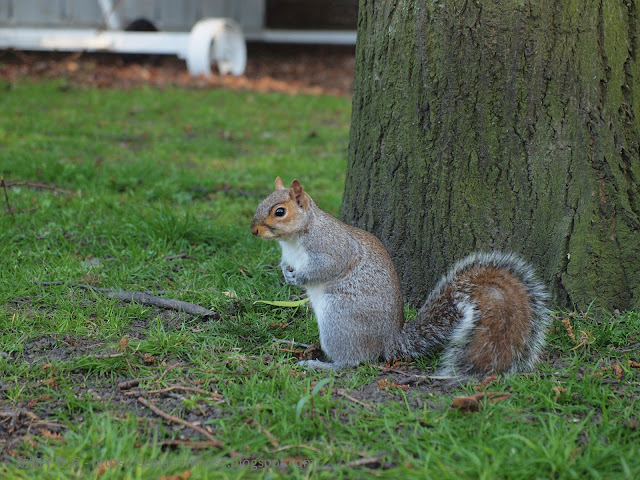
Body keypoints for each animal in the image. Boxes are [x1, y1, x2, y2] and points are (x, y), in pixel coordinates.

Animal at [250, 176, 552, 378]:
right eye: (260, 203)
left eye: (279, 211)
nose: (253, 231)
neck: (293, 240)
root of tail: (388, 342)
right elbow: (285, 264)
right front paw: (286, 272)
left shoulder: (332, 249)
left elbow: (325, 268)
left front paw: (299, 278)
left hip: (340, 320)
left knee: (355, 360)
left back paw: (321, 364)